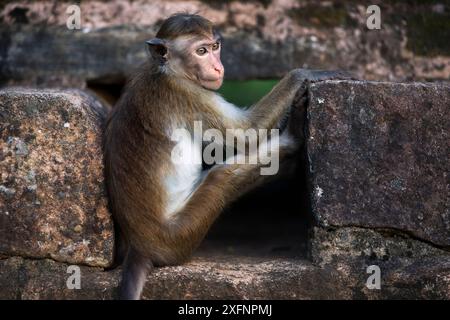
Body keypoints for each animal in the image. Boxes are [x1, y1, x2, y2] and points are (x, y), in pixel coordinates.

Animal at [103, 12, 352, 298]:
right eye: (200, 51)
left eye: (215, 47)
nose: (218, 68)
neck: (166, 70)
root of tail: (139, 247)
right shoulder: (188, 94)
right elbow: (247, 132)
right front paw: (308, 72)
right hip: (177, 236)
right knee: (221, 178)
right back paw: (292, 138)